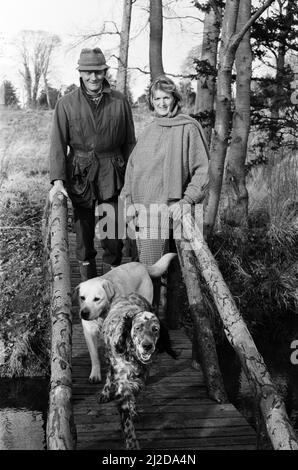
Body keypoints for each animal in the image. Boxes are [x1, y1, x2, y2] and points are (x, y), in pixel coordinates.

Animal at [75, 253, 176, 382]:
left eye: (97, 299)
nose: (84, 313)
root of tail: (141, 264)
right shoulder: (89, 333)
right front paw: (95, 374)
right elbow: (94, 356)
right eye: (82, 297)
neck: (102, 314)